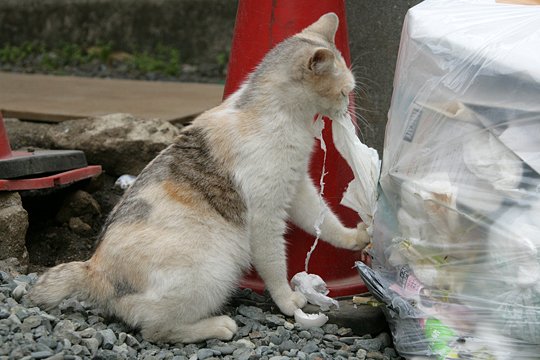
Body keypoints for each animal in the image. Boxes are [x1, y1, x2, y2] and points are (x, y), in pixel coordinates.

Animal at [29, 12, 372, 344]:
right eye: (345, 91)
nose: (347, 107)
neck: (277, 115)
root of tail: (93, 268)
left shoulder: (297, 187)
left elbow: (323, 218)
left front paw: (354, 237)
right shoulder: (265, 217)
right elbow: (275, 265)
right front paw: (288, 301)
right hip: (214, 268)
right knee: (156, 330)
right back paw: (219, 326)